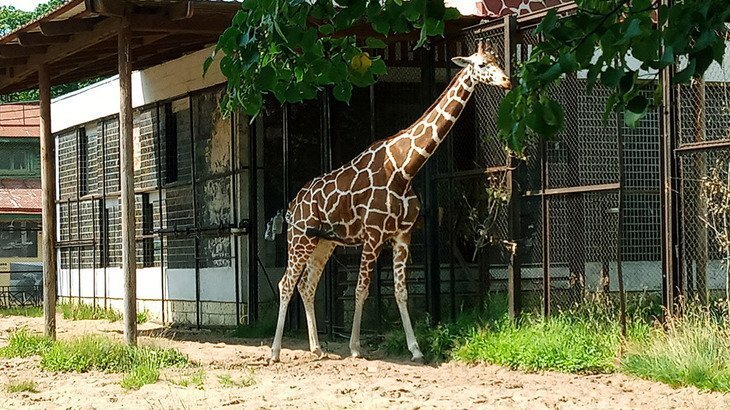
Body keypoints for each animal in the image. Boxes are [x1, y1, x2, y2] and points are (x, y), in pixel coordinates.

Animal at [268, 40, 512, 364]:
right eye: (482, 65)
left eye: (497, 60)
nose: (507, 81)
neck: (404, 169)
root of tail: (292, 205)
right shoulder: (373, 236)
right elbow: (361, 289)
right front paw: (355, 347)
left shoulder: (401, 235)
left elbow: (400, 291)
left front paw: (416, 349)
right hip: (300, 238)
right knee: (286, 283)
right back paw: (274, 351)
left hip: (324, 243)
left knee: (307, 286)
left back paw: (317, 349)